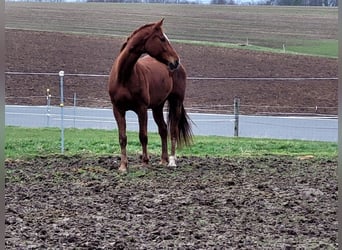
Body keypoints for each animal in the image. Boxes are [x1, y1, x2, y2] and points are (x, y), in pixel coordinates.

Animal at [108, 18, 191, 173]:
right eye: (162, 39)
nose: (176, 61)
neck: (124, 77)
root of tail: (180, 69)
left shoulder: (141, 109)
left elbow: (143, 136)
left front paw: (145, 163)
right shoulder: (118, 110)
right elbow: (122, 138)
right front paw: (123, 166)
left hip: (176, 102)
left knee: (173, 130)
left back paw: (172, 161)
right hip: (157, 107)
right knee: (163, 129)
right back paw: (163, 160)